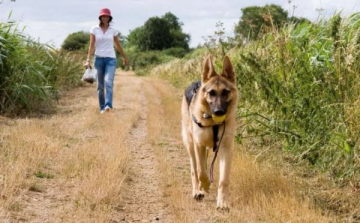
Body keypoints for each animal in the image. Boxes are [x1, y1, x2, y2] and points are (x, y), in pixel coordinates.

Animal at [181, 55, 238, 210]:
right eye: (211, 93)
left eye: (225, 92)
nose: (218, 112)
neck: (213, 124)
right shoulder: (198, 145)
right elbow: (201, 171)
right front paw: (205, 186)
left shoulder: (226, 149)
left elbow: (224, 179)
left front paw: (222, 202)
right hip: (191, 146)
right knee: (195, 170)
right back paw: (197, 191)